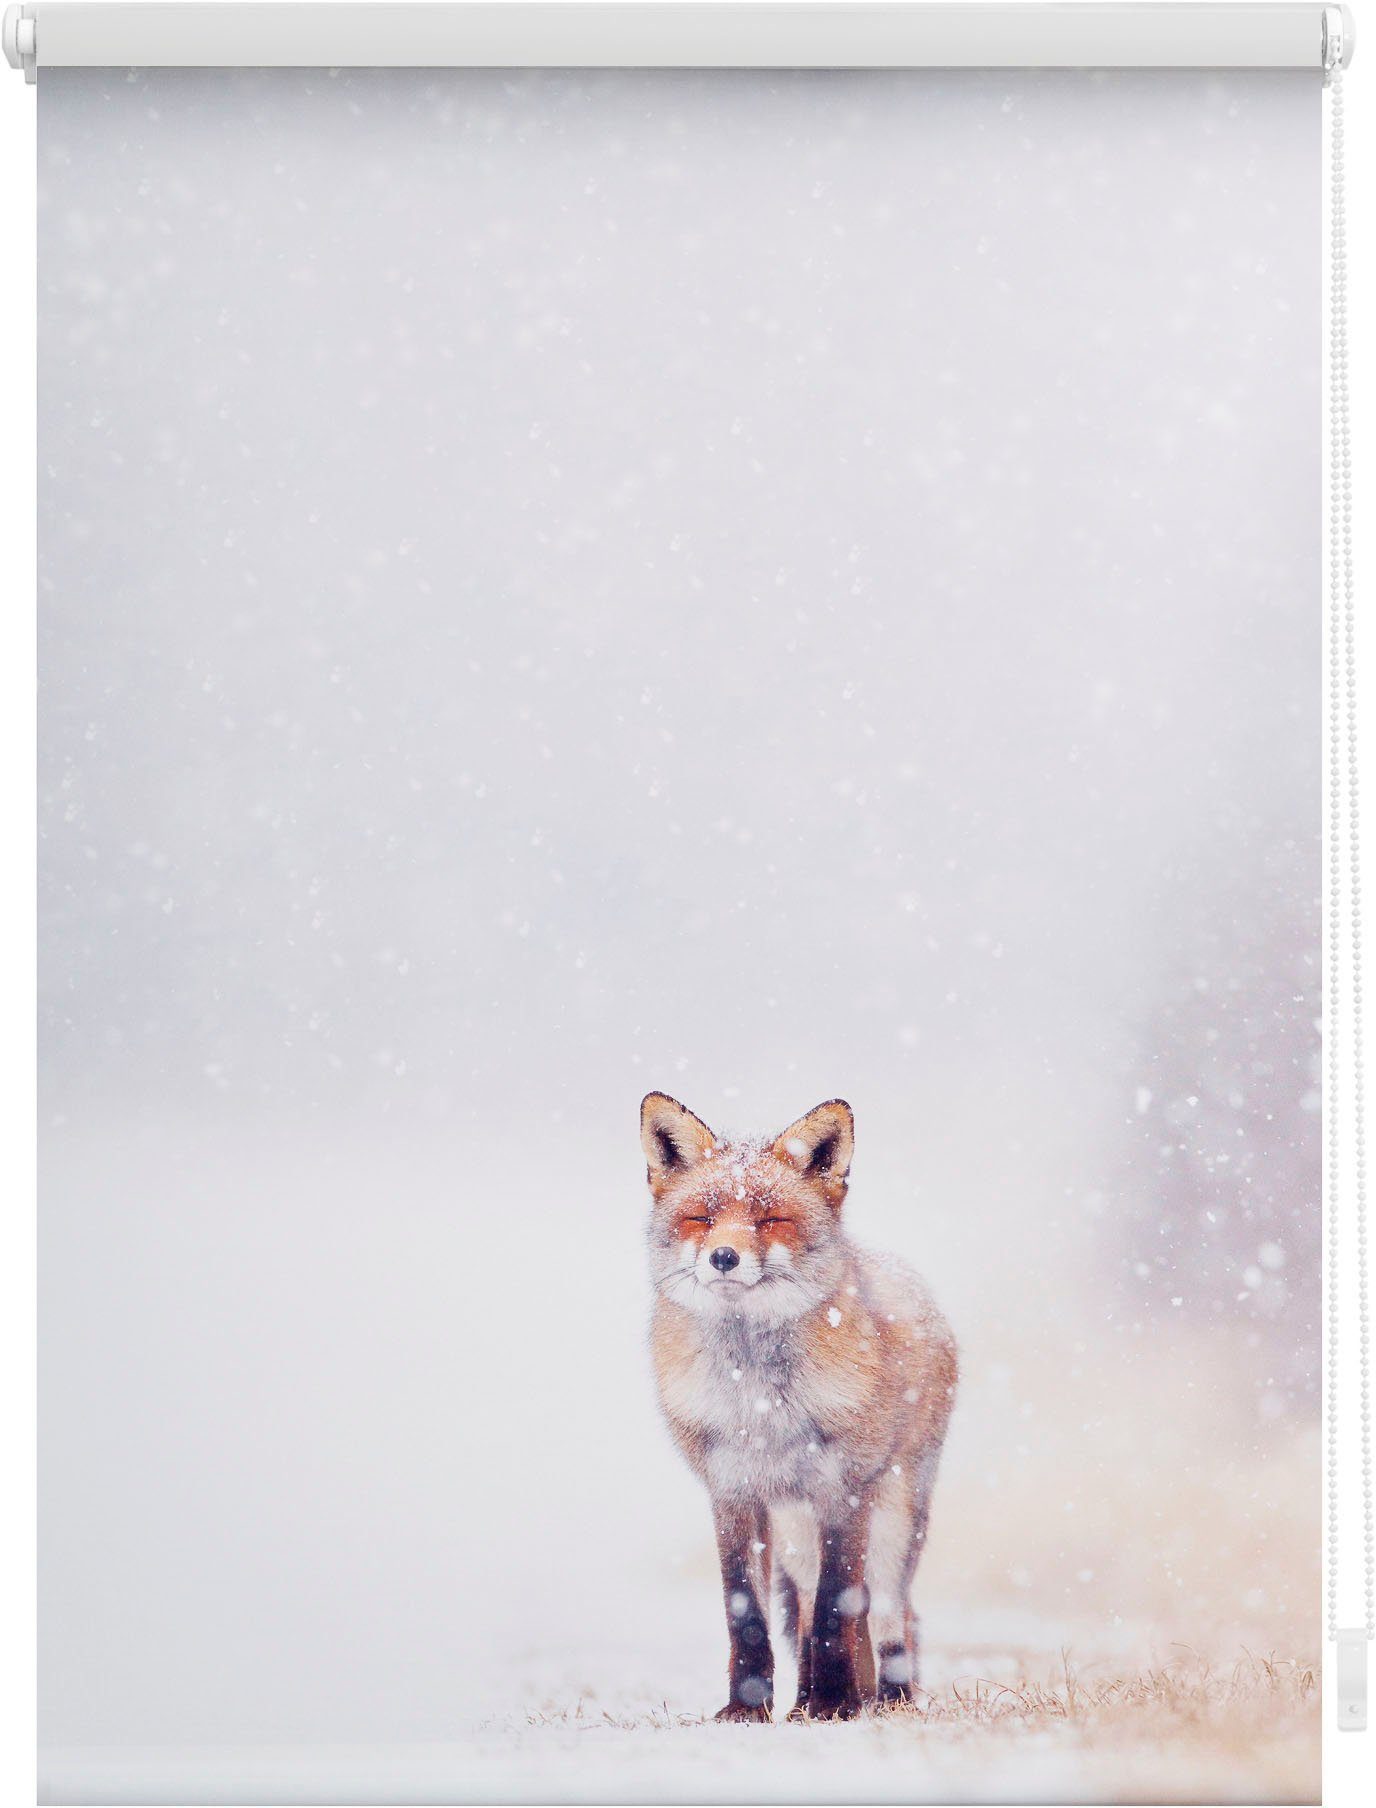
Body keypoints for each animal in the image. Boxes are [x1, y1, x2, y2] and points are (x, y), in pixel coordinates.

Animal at [641, 1092, 958, 1723]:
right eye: (702, 1219)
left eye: (770, 1221)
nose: (723, 1256)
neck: (758, 1401)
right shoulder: (732, 1490)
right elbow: (748, 1612)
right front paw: (747, 1709)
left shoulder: (843, 1488)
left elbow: (841, 1607)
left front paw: (838, 1705)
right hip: (793, 1528)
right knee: (809, 1607)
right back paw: (804, 1701)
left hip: (894, 1516)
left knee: (890, 1613)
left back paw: (884, 1700)